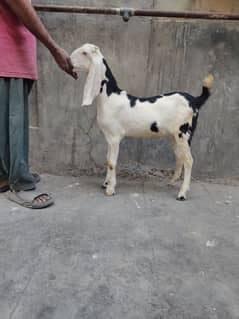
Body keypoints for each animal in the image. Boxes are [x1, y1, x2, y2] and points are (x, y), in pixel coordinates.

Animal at [70, 43, 214, 201]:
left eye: (84, 53)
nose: (69, 60)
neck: (109, 96)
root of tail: (194, 100)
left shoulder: (114, 137)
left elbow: (112, 162)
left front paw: (110, 189)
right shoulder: (109, 137)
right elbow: (107, 160)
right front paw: (105, 183)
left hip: (184, 132)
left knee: (188, 160)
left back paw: (182, 194)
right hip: (175, 136)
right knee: (180, 157)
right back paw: (171, 183)